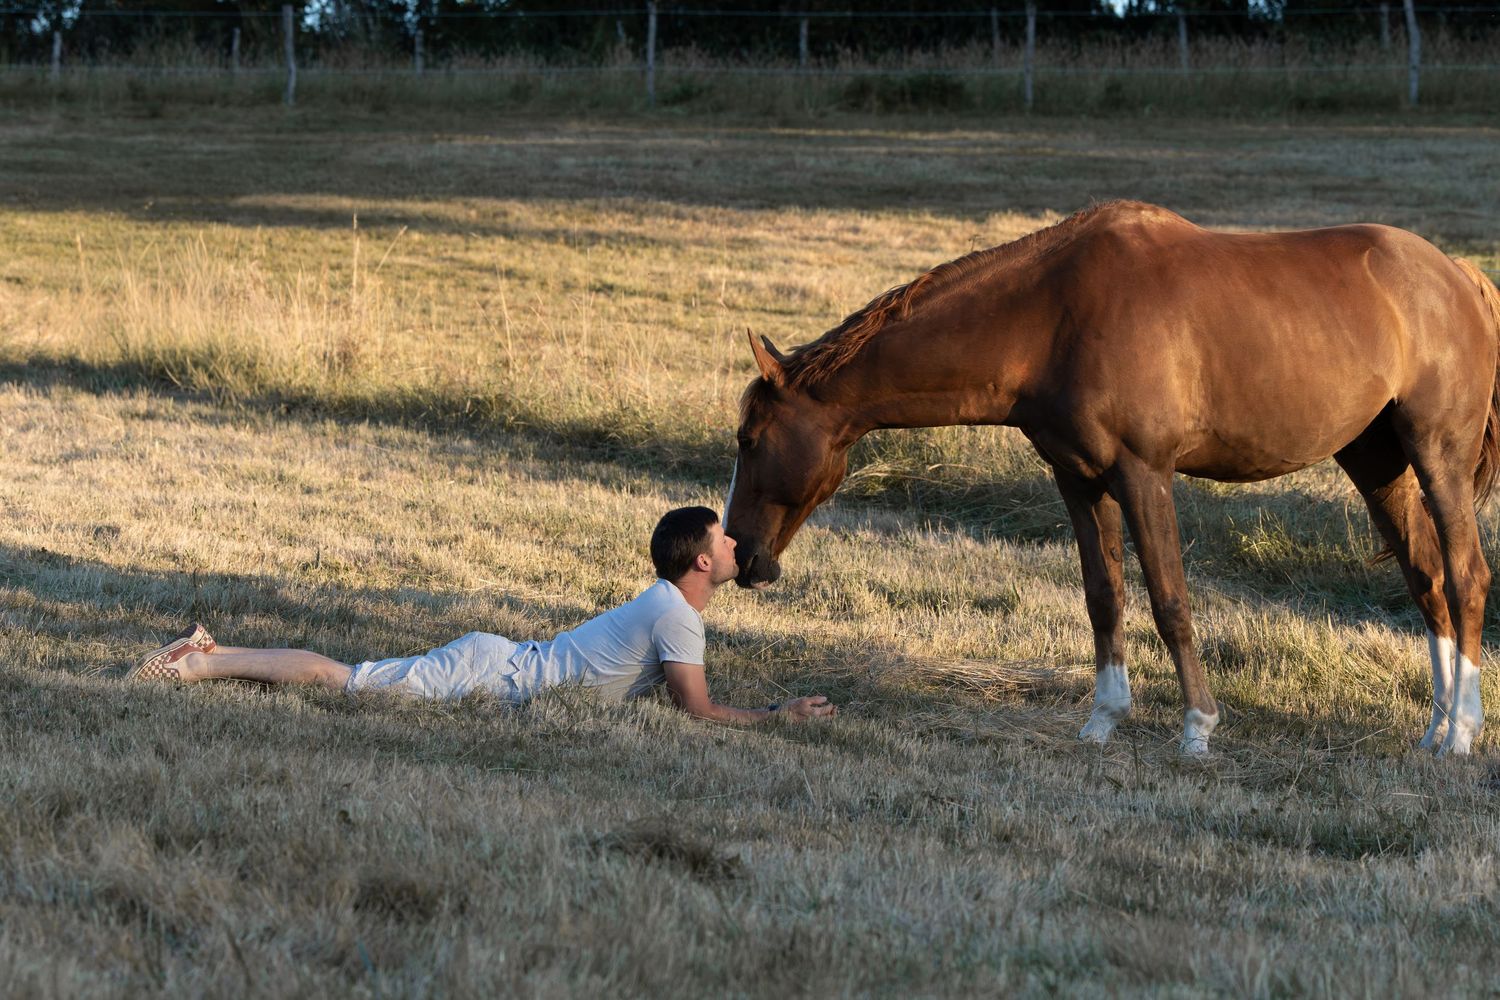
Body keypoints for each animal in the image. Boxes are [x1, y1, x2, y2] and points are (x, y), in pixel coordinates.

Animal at [723, 201, 1500, 755]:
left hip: (1438, 455)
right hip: (1379, 465)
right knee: (1427, 582)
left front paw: (1197, 728)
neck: (1051, 317)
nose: (740, 555)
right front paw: (1104, 718)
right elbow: (1105, 596)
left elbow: (1169, 599)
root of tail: (1460, 276)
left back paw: (1462, 736)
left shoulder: (1142, 472)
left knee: (1466, 576)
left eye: (749, 439)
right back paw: (1433, 731)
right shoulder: (1079, 479)